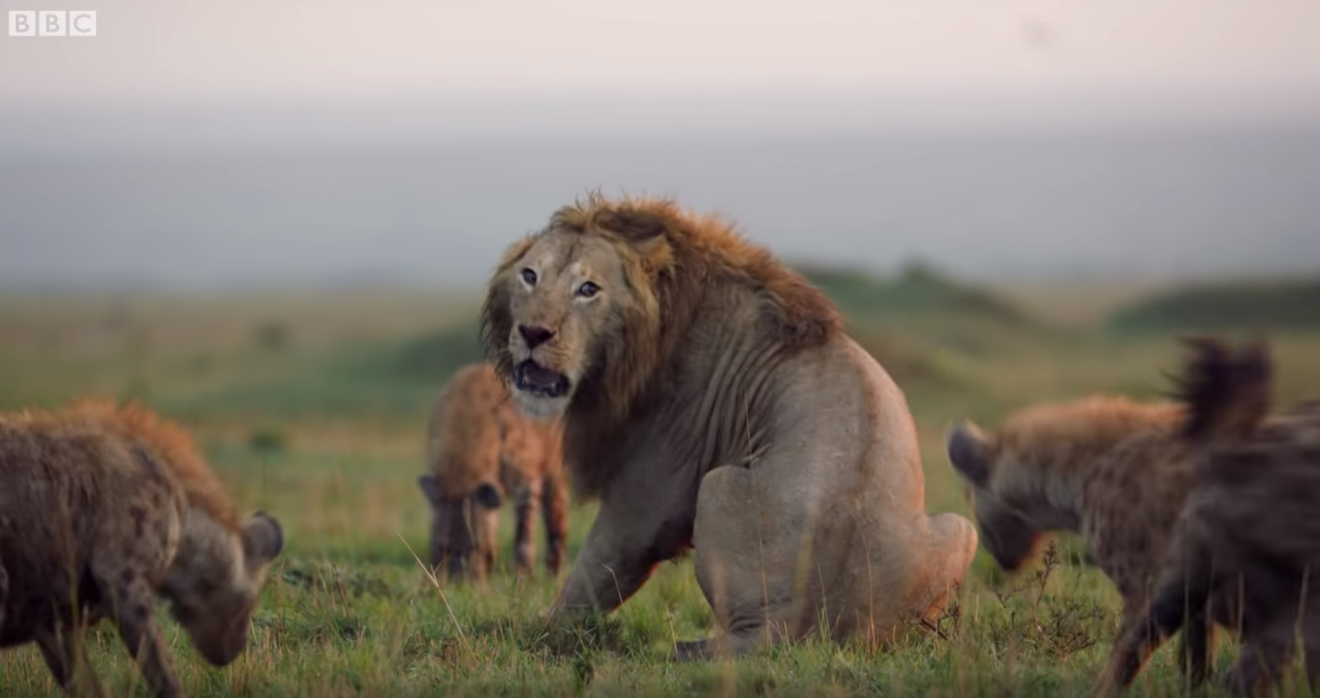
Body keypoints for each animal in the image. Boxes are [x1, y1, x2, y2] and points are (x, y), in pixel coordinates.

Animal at [0, 398, 283, 696]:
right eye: (249, 605)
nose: (235, 651)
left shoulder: (54, 618)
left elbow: (84, 683)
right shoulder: (120, 577)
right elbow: (161, 671)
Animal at [417, 361, 567, 580]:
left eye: (474, 547)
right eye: (442, 547)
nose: (457, 583)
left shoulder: (526, 474)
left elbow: (524, 532)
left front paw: (521, 576)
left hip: (555, 467)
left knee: (556, 520)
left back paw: (554, 574)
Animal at [480, 193, 976, 659]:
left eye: (588, 289)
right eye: (530, 276)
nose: (532, 332)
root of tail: (802, 624)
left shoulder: (651, 489)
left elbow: (596, 570)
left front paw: (531, 632)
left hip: (716, 484)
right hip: (961, 528)